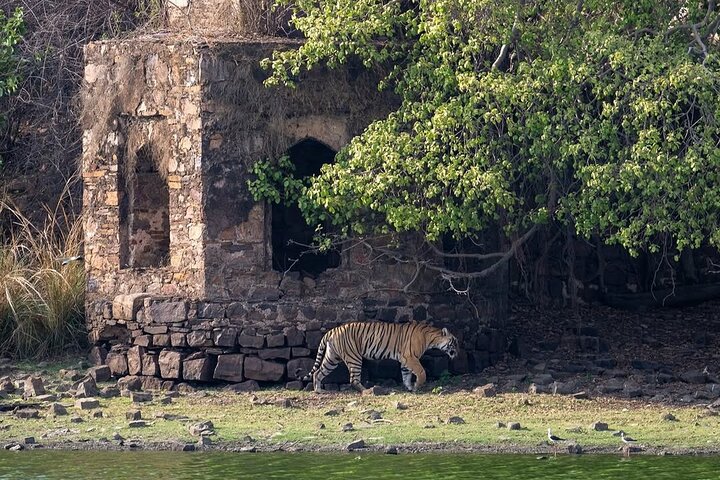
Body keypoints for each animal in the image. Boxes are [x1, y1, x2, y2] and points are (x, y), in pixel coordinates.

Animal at [305, 321, 459, 393]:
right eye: (455, 342)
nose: (457, 353)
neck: (431, 338)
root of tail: (332, 330)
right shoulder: (410, 357)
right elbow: (421, 372)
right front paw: (417, 386)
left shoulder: (405, 360)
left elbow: (406, 375)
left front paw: (410, 387)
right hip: (354, 357)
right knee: (353, 379)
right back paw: (366, 391)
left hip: (332, 358)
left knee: (318, 372)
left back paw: (318, 390)